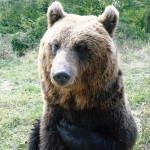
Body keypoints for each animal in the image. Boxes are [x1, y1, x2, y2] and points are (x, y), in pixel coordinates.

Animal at [28, 0, 137, 149]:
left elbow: (122, 136)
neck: (80, 100)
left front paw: (67, 128)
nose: (61, 74)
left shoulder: (110, 104)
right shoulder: (53, 110)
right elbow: (48, 140)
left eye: (81, 46)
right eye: (55, 45)